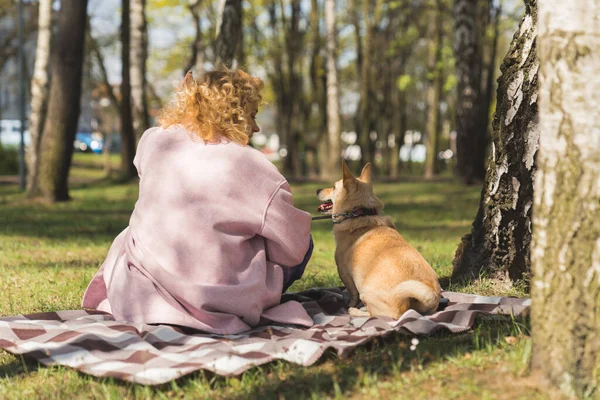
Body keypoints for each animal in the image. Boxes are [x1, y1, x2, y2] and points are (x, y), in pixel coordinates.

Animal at [318, 160, 440, 318]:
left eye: (333, 187)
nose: (317, 190)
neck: (361, 213)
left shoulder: (344, 272)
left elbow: (352, 294)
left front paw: (350, 304)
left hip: (366, 293)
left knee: (373, 315)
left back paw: (355, 311)